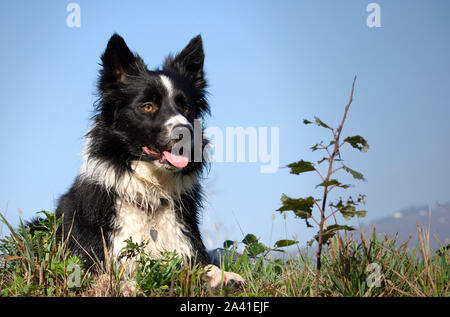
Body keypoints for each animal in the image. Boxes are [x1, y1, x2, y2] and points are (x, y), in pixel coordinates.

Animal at [31, 33, 243, 292]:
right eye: (147, 106)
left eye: (185, 108)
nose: (186, 131)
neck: (149, 194)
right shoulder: (86, 260)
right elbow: (107, 277)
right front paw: (130, 285)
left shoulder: (186, 245)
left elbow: (203, 265)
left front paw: (223, 276)